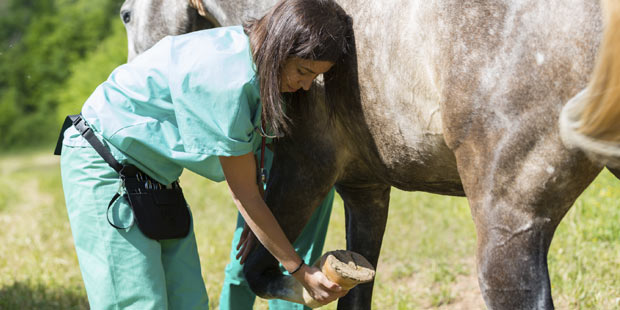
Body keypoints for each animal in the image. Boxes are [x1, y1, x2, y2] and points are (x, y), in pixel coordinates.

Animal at [120, 0, 616, 308]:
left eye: (124, 14)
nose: (132, 77)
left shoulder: (303, 172)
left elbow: (257, 269)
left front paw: (313, 285)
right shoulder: (366, 191)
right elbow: (357, 289)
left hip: (508, 230)